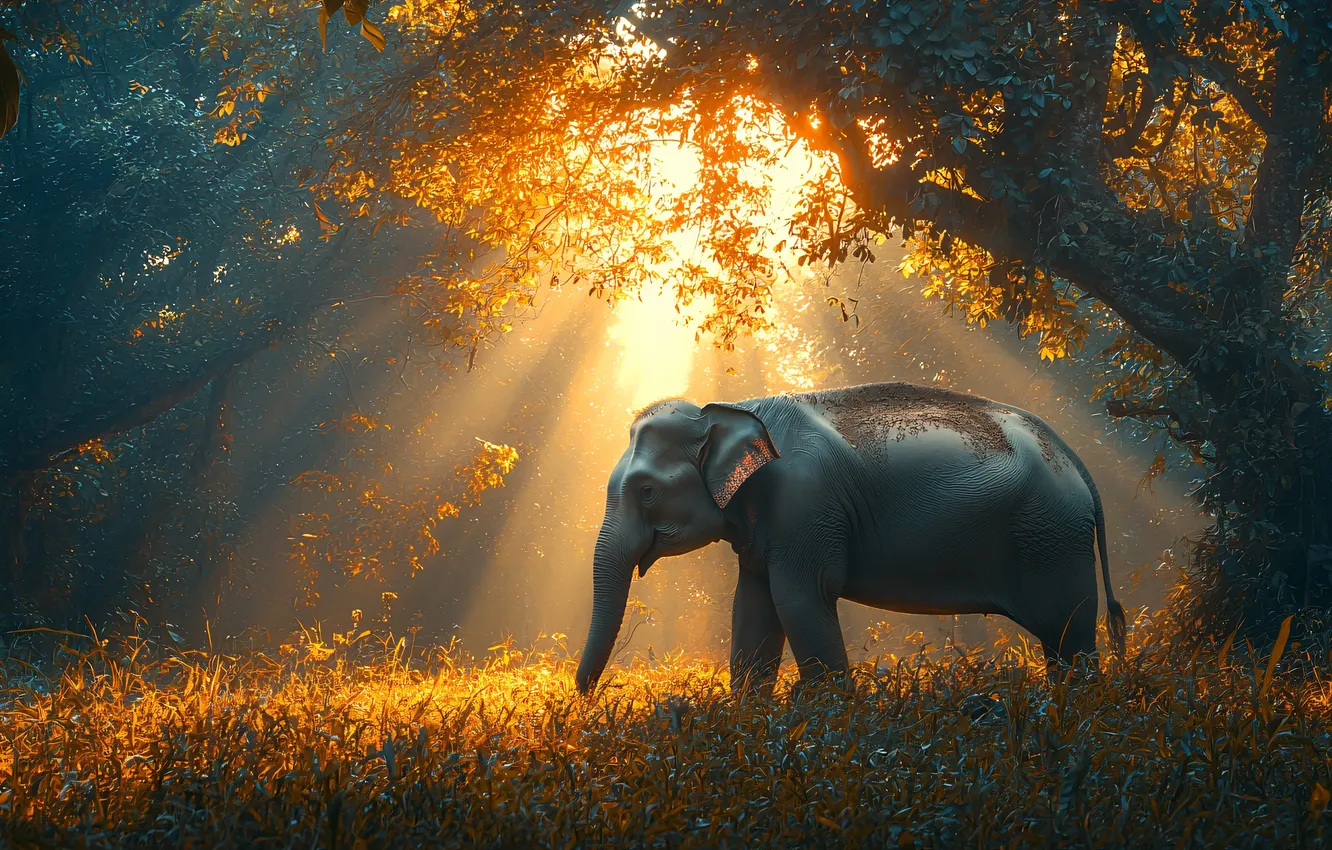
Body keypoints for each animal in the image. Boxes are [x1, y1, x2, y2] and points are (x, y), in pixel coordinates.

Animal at [574, 382, 1127, 694]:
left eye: (646, 490)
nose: (589, 698)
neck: (733, 407)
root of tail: (1076, 461)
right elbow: (752, 608)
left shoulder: (804, 505)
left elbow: (800, 600)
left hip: (1051, 540)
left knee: (1069, 635)